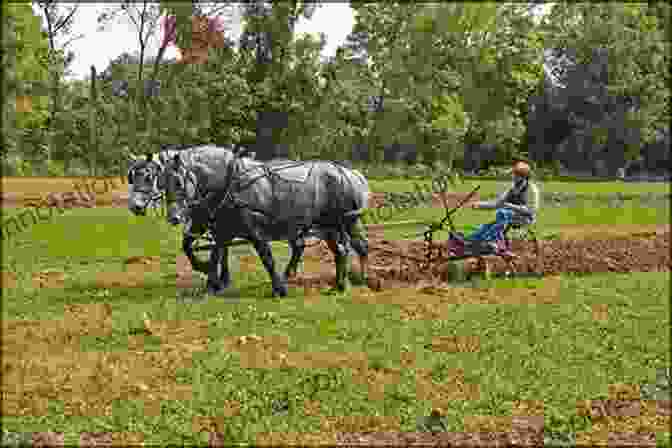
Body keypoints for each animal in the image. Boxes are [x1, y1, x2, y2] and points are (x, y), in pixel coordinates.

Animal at [164, 145, 372, 296]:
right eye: (162, 182)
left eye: (178, 182)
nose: (173, 217)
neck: (230, 184)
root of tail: (350, 174)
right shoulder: (222, 229)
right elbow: (213, 254)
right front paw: (211, 282)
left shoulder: (255, 231)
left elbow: (267, 258)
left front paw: (279, 288)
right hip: (329, 226)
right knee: (341, 251)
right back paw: (339, 285)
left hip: (346, 222)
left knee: (359, 247)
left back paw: (363, 279)